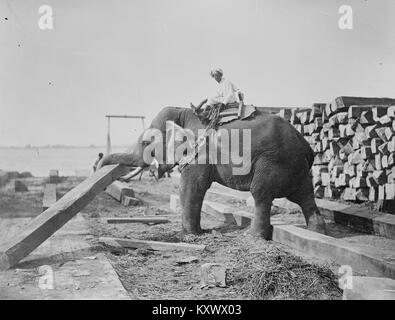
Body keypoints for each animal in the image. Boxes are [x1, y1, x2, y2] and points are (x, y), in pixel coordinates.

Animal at [100, 106, 328, 239]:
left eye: (146, 143)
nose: (99, 165)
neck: (185, 112)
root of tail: (306, 147)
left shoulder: (200, 152)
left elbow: (192, 186)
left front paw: (190, 235)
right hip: (298, 169)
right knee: (306, 198)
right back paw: (317, 233)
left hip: (273, 163)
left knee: (261, 194)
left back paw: (252, 236)